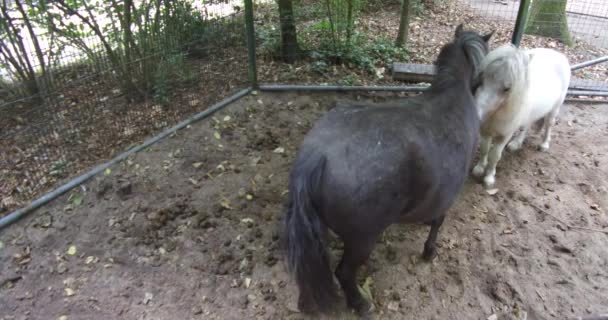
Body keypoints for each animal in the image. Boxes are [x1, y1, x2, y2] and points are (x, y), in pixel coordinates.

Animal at [282, 24, 492, 316]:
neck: (451, 93)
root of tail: (317, 156)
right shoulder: (447, 193)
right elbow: (438, 221)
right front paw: (429, 250)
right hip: (362, 239)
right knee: (344, 272)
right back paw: (360, 304)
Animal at [476, 43, 568, 186]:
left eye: (507, 88)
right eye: (482, 78)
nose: (476, 114)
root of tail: (559, 54)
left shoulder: (504, 135)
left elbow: (494, 155)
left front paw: (489, 178)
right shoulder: (485, 130)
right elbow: (484, 149)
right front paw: (479, 168)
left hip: (554, 109)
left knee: (549, 125)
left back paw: (544, 145)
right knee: (527, 125)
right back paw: (516, 144)